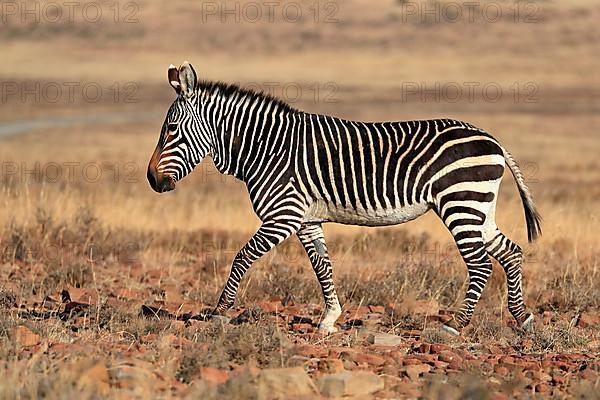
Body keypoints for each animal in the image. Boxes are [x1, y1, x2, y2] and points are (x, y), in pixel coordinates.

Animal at [148, 62, 540, 336]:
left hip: (461, 203)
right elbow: (323, 266)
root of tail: (491, 138)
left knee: (481, 263)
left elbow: (242, 257)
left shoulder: (282, 215)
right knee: (510, 252)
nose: (152, 179)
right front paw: (329, 319)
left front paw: (219, 311)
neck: (266, 147)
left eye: (171, 129)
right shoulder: (306, 219)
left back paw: (456, 325)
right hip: (479, 207)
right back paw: (523, 318)